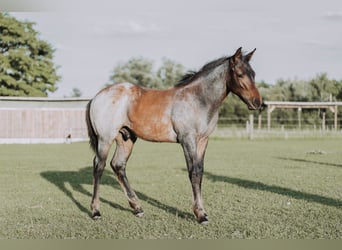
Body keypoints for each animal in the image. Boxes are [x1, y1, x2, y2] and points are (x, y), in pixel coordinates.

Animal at [85, 47, 262, 225]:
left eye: (253, 74)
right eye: (239, 74)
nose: (258, 102)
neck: (197, 99)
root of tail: (97, 97)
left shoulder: (203, 140)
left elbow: (200, 171)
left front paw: (202, 211)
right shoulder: (187, 140)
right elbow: (194, 172)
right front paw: (200, 214)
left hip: (126, 139)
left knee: (118, 165)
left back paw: (137, 208)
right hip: (105, 140)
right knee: (99, 167)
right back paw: (96, 211)